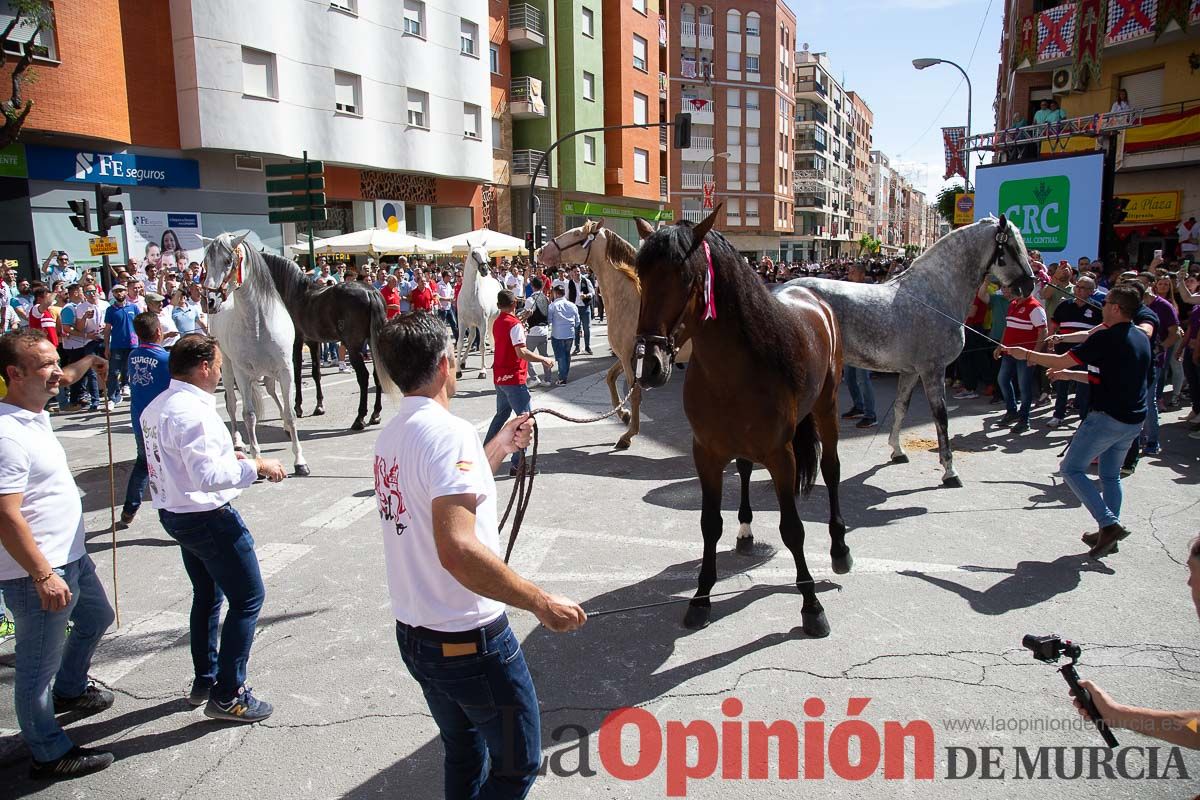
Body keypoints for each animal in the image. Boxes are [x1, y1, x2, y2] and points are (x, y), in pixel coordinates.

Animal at [200, 235, 309, 479]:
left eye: (228, 260)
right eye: (205, 263)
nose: (208, 301)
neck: (258, 322)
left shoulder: (285, 369)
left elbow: (290, 414)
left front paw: (300, 461)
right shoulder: (241, 372)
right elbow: (248, 415)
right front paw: (258, 461)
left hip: (268, 372)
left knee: (271, 392)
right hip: (227, 368)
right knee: (232, 404)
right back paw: (238, 441)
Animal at [260, 255, 386, 431]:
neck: (295, 294)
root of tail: (370, 292)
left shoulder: (297, 342)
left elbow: (297, 372)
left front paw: (298, 407)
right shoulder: (313, 342)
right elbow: (315, 372)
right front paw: (319, 406)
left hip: (354, 346)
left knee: (363, 376)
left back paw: (360, 418)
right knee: (376, 374)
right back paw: (375, 414)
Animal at [453, 242, 501, 381]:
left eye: (486, 253)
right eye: (474, 253)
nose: (484, 269)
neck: (471, 295)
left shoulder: (482, 322)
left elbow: (482, 346)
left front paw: (482, 371)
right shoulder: (462, 322)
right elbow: (460, 344)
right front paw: (458, 370)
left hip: (492, 320)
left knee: (491, 336)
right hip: (472, 324)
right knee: (471, 338)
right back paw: (463, 362)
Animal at [633, 209, 849, 633]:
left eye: (687, 281)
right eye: (640, 276)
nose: (651, 366)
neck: (733, 371)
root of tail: (814, 298)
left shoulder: (782, 456)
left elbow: (793, 529)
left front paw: (811, 605)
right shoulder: (707, 453)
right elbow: (709, 524)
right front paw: (701, 598)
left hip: (827, 407)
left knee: (831, 471)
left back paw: (839, 549)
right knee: (747, 469)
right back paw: (746, 532)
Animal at [782, 214, 1036, 489]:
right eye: (1012, 246)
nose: (1029, 286)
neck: (935, 295)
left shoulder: (911, 372)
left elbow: (901, 408)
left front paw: (897, 451)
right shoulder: (932, 370)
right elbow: (941, 416)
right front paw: (950, 471)